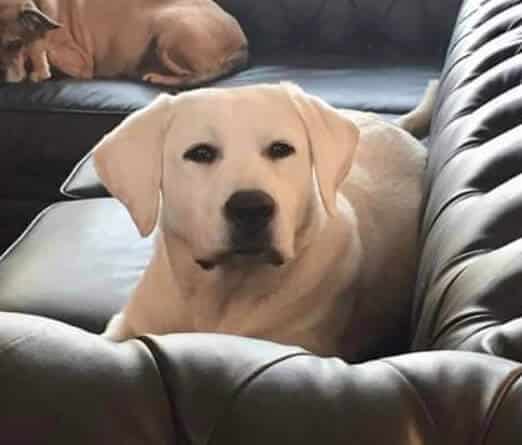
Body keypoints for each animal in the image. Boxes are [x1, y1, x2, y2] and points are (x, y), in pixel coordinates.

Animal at [0, 0, 247, 85]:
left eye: (13, 44)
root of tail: (243, 44)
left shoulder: (81, 62)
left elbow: (39, 45)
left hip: (167, 30)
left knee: (196, 75)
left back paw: (156, 76)